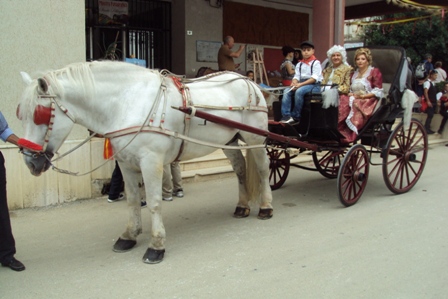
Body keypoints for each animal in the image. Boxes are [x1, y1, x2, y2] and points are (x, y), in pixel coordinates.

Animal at [16, 61, 272, 264]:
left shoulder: (151, 162)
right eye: (20, 114)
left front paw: (156, 245)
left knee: (262, 169)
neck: (128, 102)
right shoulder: (126, 164)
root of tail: (249, 82)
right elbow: (132, 201)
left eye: (39, 113)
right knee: (240, 170)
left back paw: (266, 207)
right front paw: (129, 235)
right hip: (230, 140)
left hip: (255, 139)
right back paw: (242, 205)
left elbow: (154, 203)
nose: (30, 162)